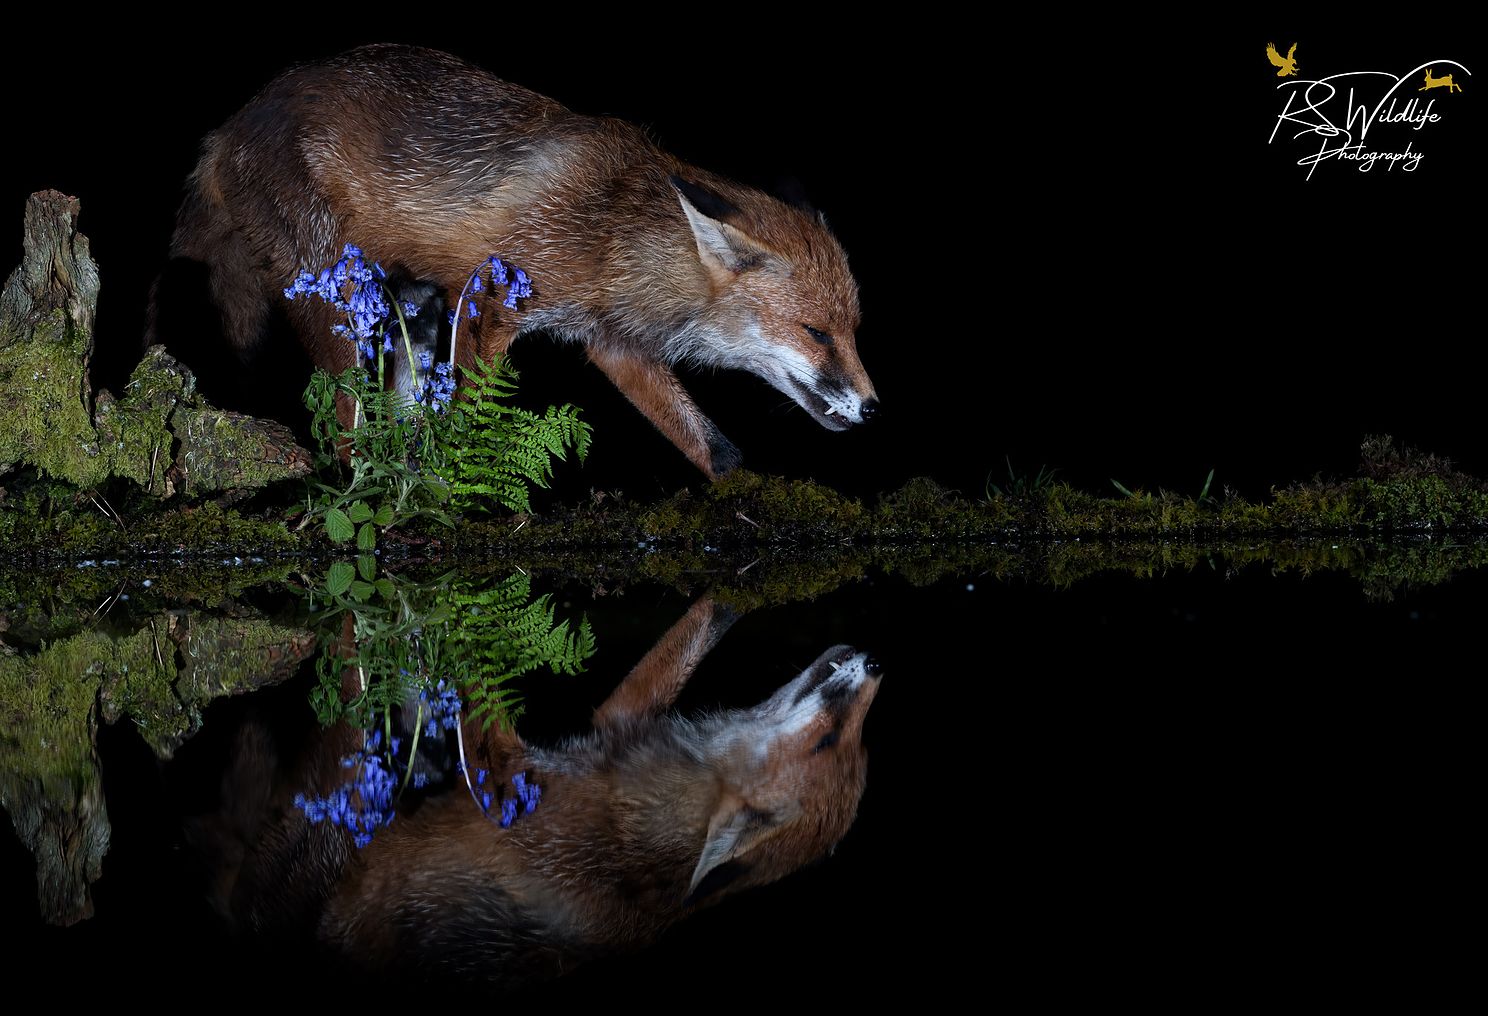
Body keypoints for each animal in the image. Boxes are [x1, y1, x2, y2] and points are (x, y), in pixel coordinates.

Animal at [162, 44, 878, 478]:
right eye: (816, 333)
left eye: (851, 331)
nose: (875, 409)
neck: (609, 233)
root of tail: (226, 129)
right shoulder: (488, 303)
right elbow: (470, 424)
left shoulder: (614, 344)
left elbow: (715, 449)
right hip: (336, 298)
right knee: (347, 430)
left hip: (413, 309)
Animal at [197, 595, 882, 987]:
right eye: (842, 746)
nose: (877, 665)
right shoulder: (609, 724)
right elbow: (690, 638)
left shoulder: (512, 783)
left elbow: (480, 688)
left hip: (336, 803)